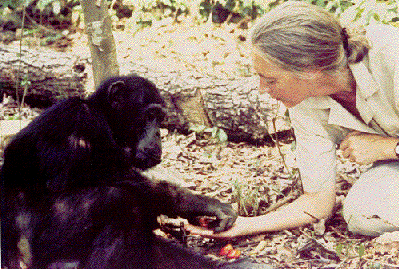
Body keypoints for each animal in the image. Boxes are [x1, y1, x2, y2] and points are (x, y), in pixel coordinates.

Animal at [0, 75, 238, 268]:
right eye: (150, 115)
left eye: (160, 118)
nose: (158, 134)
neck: (105, 118)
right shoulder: (75, 118)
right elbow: (75, 175)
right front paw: (198, 203)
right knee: (119, 198)